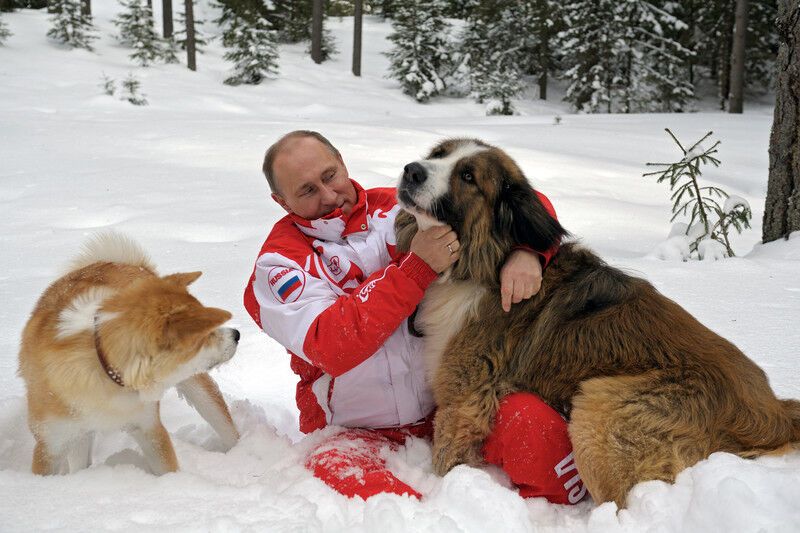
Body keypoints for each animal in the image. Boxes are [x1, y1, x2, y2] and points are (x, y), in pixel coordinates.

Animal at [18, 232, 241, 474]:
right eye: (207, 332)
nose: (236, 334)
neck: (104, 372)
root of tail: (127, 264)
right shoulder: (50, 445)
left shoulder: (149, 427)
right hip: (77, 435)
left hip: (198, 388)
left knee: (225, 425)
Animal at [396, 139, 800, 504]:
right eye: (438, 155)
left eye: (467, 176)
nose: (411, 170)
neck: (484, 263)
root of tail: (773, 410)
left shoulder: (462, 399)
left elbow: (446, 458)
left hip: (601, 408)